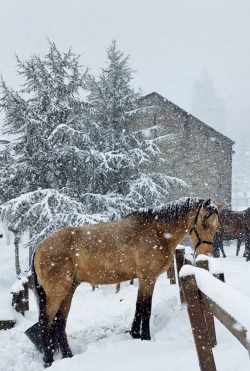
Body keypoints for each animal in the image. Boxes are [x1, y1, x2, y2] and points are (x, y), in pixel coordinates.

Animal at [26, 199, 220, 368]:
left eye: (216, 227)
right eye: (204, 224)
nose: (205, 254)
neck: (157, 231)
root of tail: (39, 247)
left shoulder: (143, 279)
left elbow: (139, 306)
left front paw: (135, 334)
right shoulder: (148, 278)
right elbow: (146, 309)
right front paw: (145, 338)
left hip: (69, 290)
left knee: (59, 322)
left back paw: (68, 355)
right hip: (57, 292)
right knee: (45, 322)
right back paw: (48, 361)